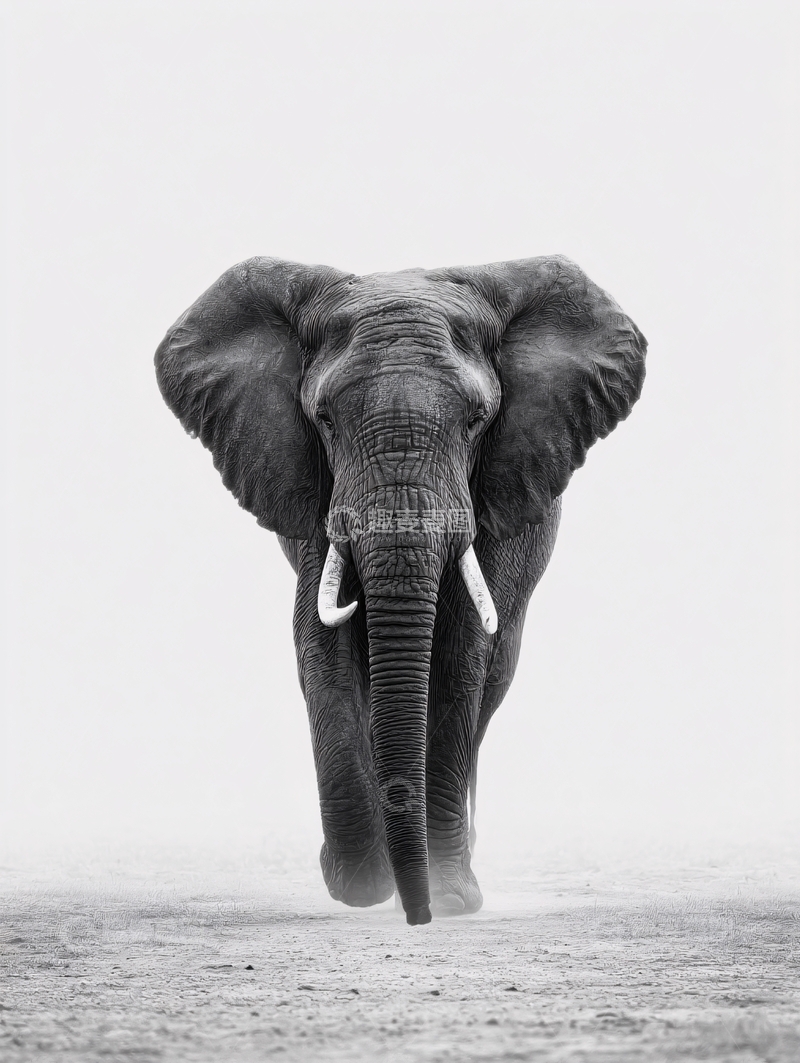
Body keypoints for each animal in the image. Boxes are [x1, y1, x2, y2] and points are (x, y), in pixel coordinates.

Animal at [155, 255, 647, 925]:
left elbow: (461, 653)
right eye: (324, 420)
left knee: (495, 675)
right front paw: (361, 886)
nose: (420, 919)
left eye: (476, 422)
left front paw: (451, 897)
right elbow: (322, 645)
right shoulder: (317, 493)